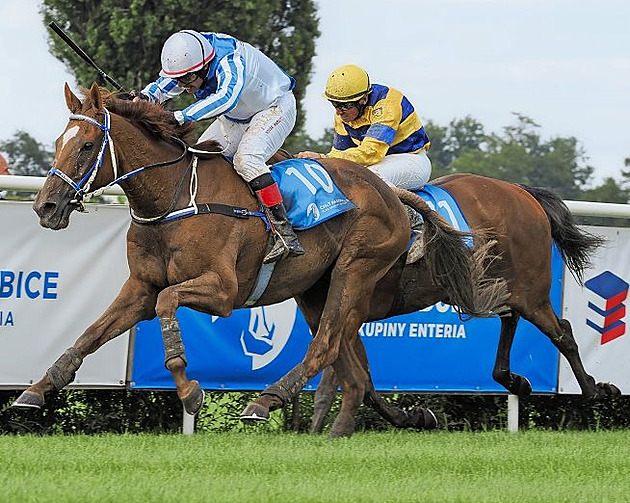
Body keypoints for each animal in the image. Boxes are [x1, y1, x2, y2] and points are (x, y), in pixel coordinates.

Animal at [9, 83, 504, 438]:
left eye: (87, 145)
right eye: (58, 141)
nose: (46, 207)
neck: (173, 198)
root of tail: (391, 192)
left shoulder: (223, 291)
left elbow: (169, 304)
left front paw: (190, 391)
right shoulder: (140, 287)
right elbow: (91, 332)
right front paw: (36, 390)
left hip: (356, 268)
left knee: (326, 345)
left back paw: (265, 401)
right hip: (317, 288)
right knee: (346, 357)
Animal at [310, 173, 624, 434]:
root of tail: (521, 191)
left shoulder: (350, 310)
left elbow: (349, 374)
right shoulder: (347, 317)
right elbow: (358, 378)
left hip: (531, 291)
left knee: (562, 332)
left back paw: (595, 389)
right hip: (497, 283)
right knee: (511, 319)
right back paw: (515, 380)